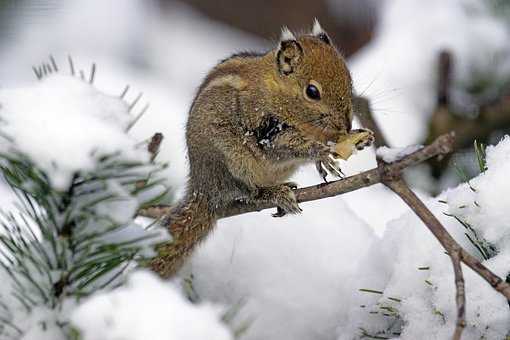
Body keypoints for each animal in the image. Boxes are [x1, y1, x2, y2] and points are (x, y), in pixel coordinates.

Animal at [151, 19, 374, 278]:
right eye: (312, 92)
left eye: (350, 80)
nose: (346, 125)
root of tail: (203, 188)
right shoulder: (263, 128)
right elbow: (287, 148)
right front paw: (321, 153)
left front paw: (358, 140)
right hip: (234, 162)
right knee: (249, 192)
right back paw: (275, 193)